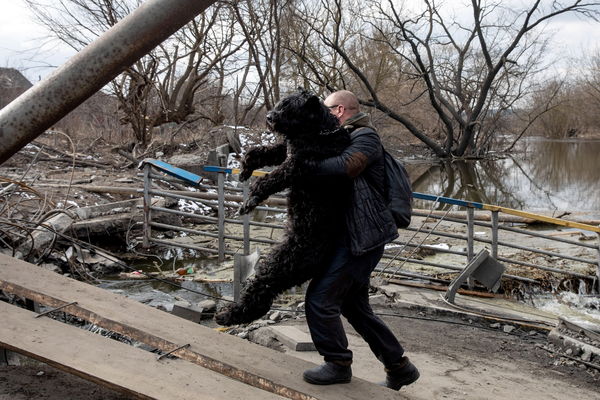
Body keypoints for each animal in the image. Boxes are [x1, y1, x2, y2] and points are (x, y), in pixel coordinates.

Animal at [216, 90, 352, 324]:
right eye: (281, 103)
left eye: (290, 108)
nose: (270, 117)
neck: (320, 132)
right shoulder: (286, 149)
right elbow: (259, 151)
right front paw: (245, 169)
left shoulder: (297, 165)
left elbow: (269, 179)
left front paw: (250, 200)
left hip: (278, 265)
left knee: (259, 297)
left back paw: (227, 315)